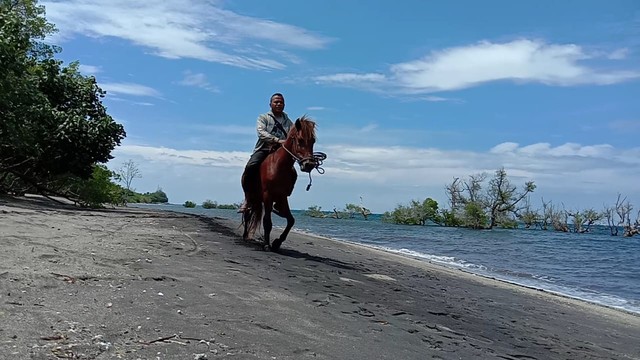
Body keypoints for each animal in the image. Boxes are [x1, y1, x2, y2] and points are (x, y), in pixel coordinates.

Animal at [241, 115, 318, 250]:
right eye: (300, 140)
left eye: (313, 141)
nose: (309, 164)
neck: (278, 166)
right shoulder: (268, 195)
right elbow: (267, 221)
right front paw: (267, 244)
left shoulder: (282, 196)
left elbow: (291, 220)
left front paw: (277, 242)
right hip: (251, 196)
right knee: (247, 212)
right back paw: (245, 235)